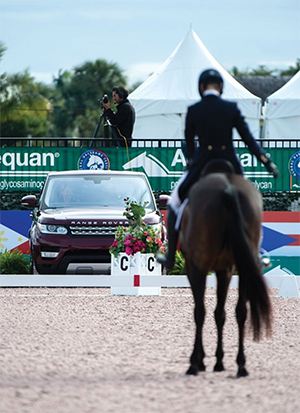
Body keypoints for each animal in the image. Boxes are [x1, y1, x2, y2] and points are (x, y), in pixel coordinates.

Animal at [179, 161, 274, 376]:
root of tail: (227, 188)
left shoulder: (195, 267)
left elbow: (203, 310)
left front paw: (201, 361)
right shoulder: (226, 269)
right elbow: (220, 313)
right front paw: (219, 361)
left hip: (199, 265)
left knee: (200, 311)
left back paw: (194, 365)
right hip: (244, 265)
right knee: (241, 311)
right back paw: (241, 365)